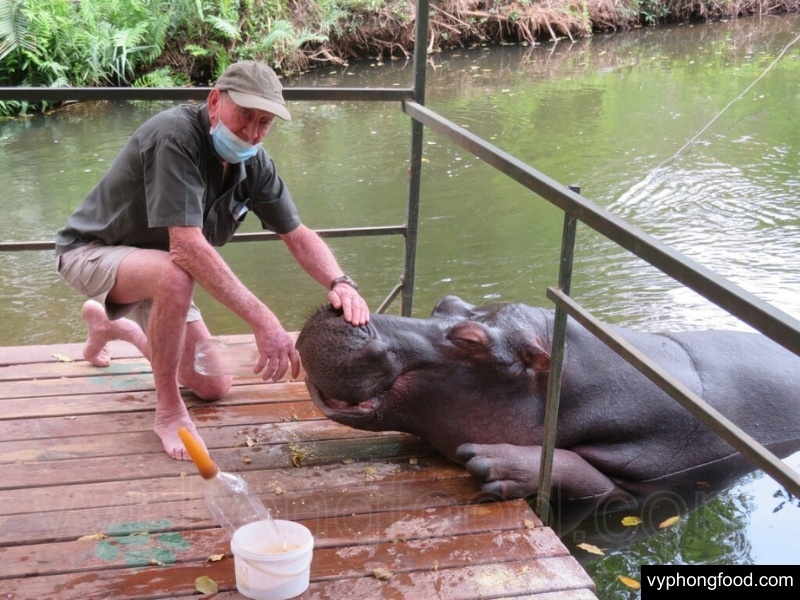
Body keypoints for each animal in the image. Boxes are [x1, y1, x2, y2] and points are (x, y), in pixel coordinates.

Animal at [295, 295, 800, 511]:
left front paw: (491, 463)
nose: (341, 308)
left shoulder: (661, 473)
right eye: (444, 303)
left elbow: (594, 480)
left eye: (471, 340)